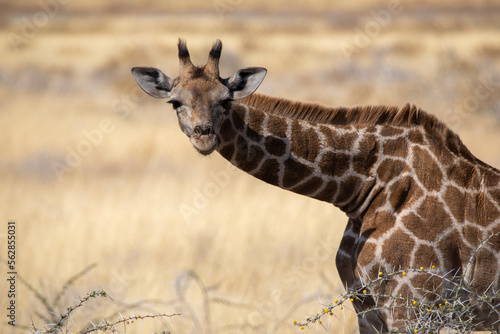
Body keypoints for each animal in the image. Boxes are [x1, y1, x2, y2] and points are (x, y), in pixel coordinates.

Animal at [131, 39, 498, 334]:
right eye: (175, 102)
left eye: (225, 100)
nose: (204, 136)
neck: (363, 187)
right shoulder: (366, 306)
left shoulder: (415, 303)